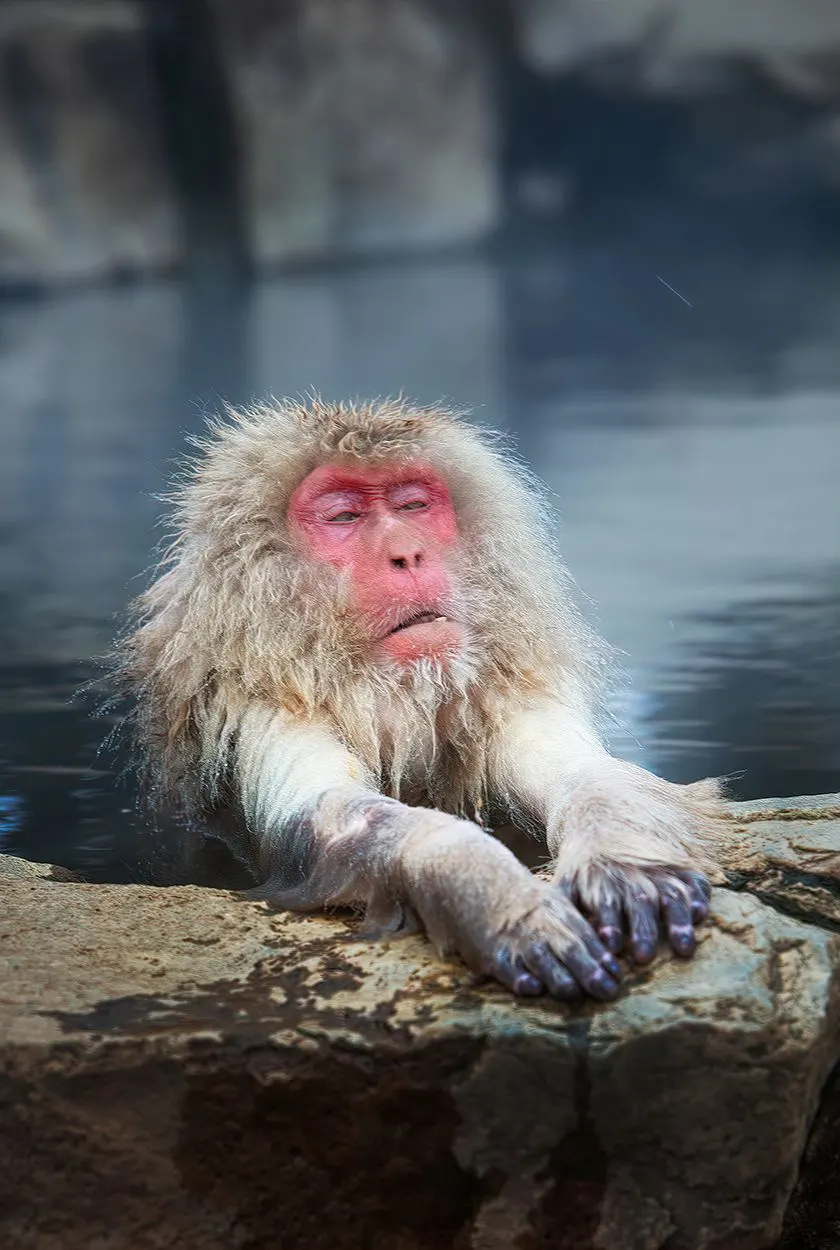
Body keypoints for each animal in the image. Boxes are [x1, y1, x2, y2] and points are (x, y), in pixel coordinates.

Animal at [117, 396, 723, 1002]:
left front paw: (624, 862)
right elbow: (329, 817)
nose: (407, 554)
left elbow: (584, 774)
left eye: (413, 505)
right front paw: (494, 894)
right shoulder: (259, 696)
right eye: (343, 517)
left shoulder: (502, 682)